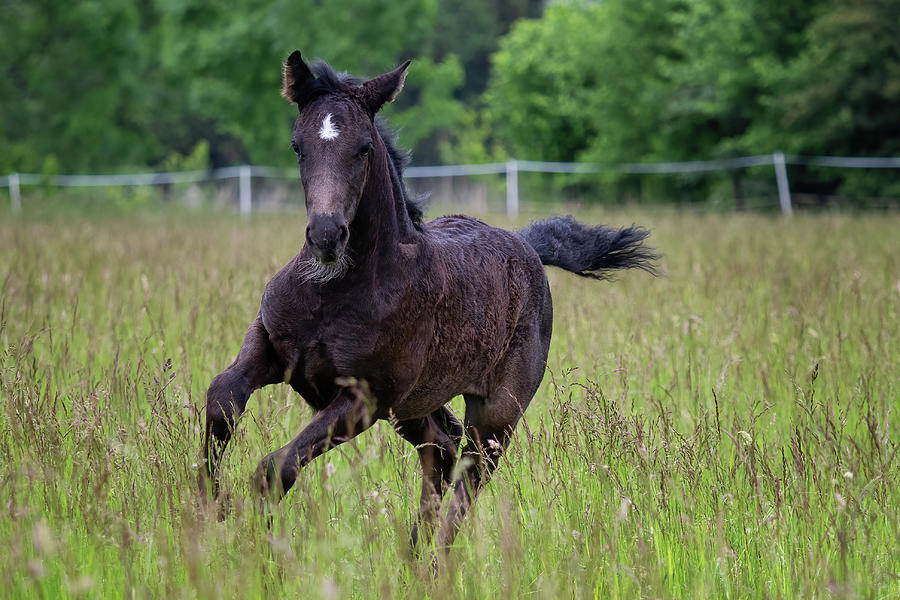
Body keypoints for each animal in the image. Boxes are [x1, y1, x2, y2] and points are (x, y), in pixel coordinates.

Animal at [200, 50, 656, 552]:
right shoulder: (271, 346)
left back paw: (435, 558)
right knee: (440, 450)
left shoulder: (365, 399)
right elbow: (222, 397)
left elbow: (274, 468)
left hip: (493, 414)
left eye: (364, 148)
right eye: (297, 146)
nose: (325, 235)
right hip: (414, 408)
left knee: (469, 476)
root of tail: (527, 244)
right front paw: (207, 507)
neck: (334, 291)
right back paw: (414, 552)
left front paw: (252, 543)